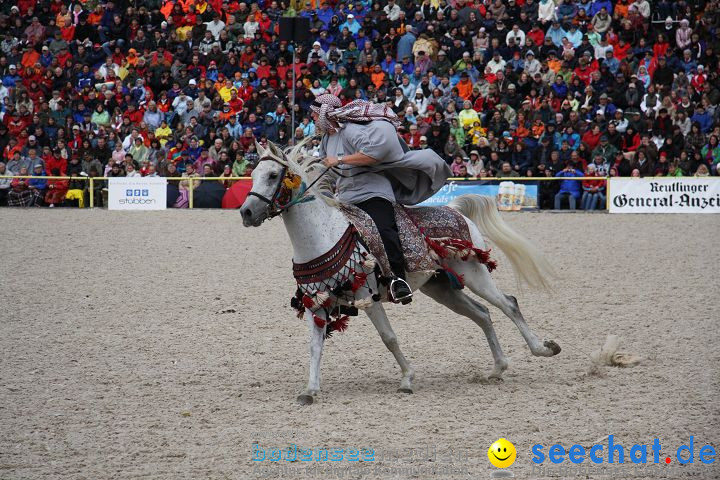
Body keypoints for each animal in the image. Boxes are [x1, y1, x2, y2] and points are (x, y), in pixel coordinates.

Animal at [239, 141, 560, 404]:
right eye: (253, 175)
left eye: (272, 175)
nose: (246, 212)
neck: (323, 235)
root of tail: (455, 209)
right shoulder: (316, 302)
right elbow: (315, 346)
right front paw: (310, 390)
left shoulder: (366, 296)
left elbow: (389, 337)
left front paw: (407, 379)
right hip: (442, 288)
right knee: (482, 314)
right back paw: (497, 368)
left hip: (475, 274)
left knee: (508, 304)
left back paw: (542, 349)